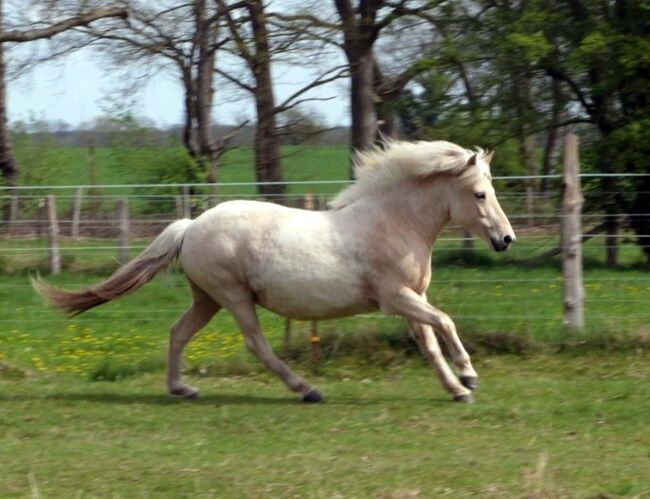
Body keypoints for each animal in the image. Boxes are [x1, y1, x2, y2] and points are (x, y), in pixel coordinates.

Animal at [33, 140, 515, 404]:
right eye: (479, 194)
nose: (506, 239)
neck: (393, 223)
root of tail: (191, 226)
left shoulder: (411, 300)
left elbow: (430, 344)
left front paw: (457, 390)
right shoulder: (395, 297)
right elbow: (446, 323)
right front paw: (470, 376)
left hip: (207, 299)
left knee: (178, 333)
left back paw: (182, 390)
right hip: (233, 296)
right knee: (256, 343)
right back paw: (306, 389)